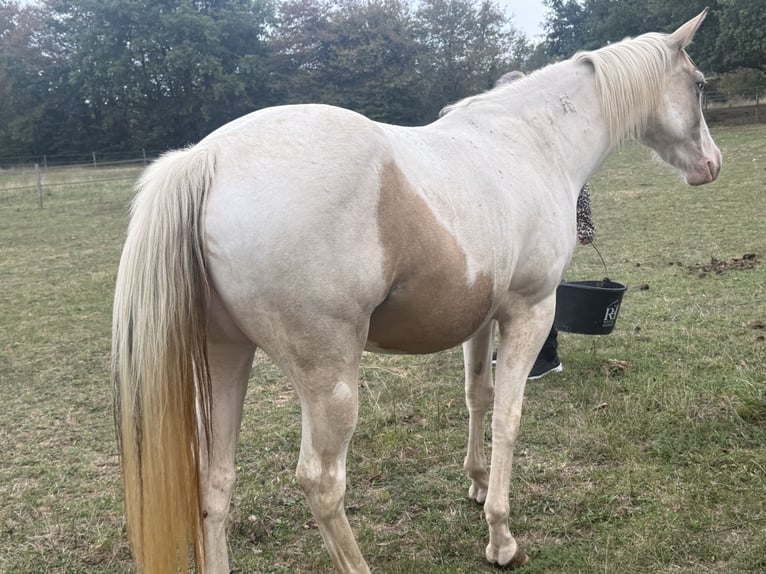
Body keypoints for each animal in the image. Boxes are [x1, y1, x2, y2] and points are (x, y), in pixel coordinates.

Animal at [112, 9, 720, 573]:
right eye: (698, 85)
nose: (711, 164)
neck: (529, 142)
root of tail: (207, 159)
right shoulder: (529, 311)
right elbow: (508, 415)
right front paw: (501, 537)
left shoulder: (483, 318)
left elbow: (478, 396)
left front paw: (477, 484)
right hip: (328, 378)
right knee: (321, 482)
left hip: (227, 356)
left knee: (215, 482)